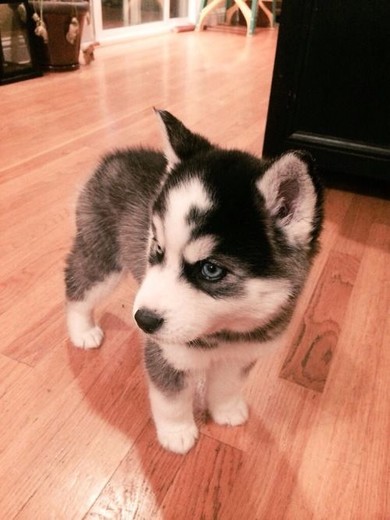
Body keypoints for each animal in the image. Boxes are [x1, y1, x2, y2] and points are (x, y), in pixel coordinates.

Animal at [65, 110, 324, 456]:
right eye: (157, 249)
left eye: (211, 270)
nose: (143, 321)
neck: (224, 332)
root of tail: (117, 156)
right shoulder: (167, 354)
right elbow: (171, 399)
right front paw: (177, 433)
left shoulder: (240, 354)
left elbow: (227, 386)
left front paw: (226, 411)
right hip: (102, 257)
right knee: (78, 285)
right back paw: (82, 330)